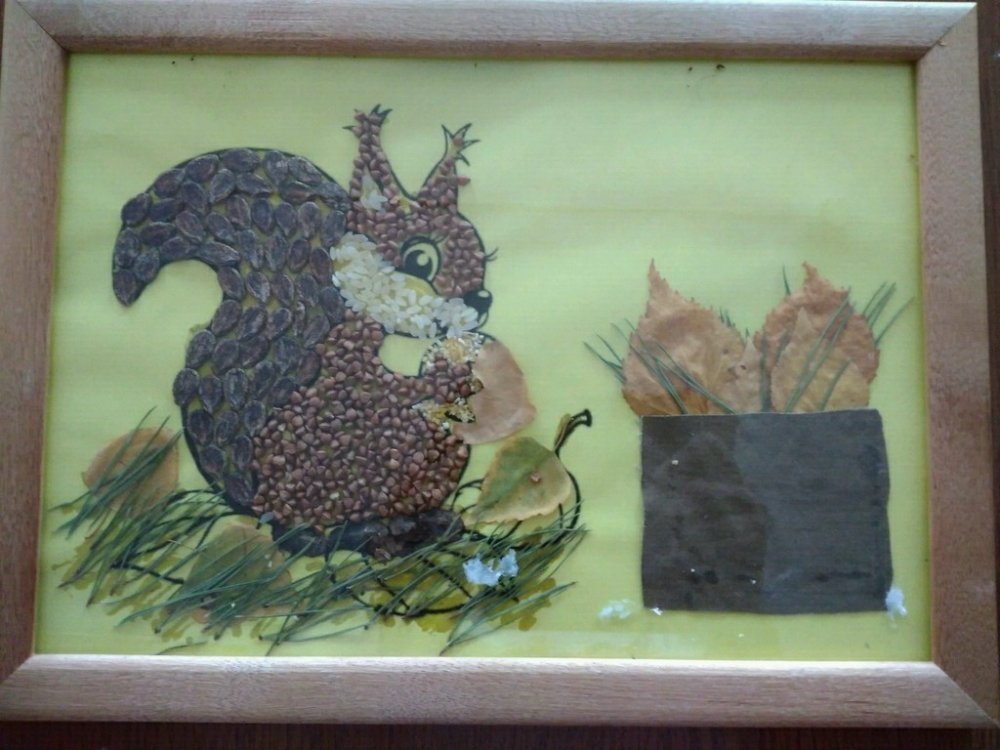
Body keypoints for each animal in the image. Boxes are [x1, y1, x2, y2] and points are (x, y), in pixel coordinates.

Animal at [111, 106, 496, 558]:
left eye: (484, 260)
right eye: (420, 260)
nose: (483, 300)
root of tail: (260, 500)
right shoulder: (352, 369)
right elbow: (394, 387)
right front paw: (447, 372)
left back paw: (421, 525)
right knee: (304, 534)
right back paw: (354, 534)